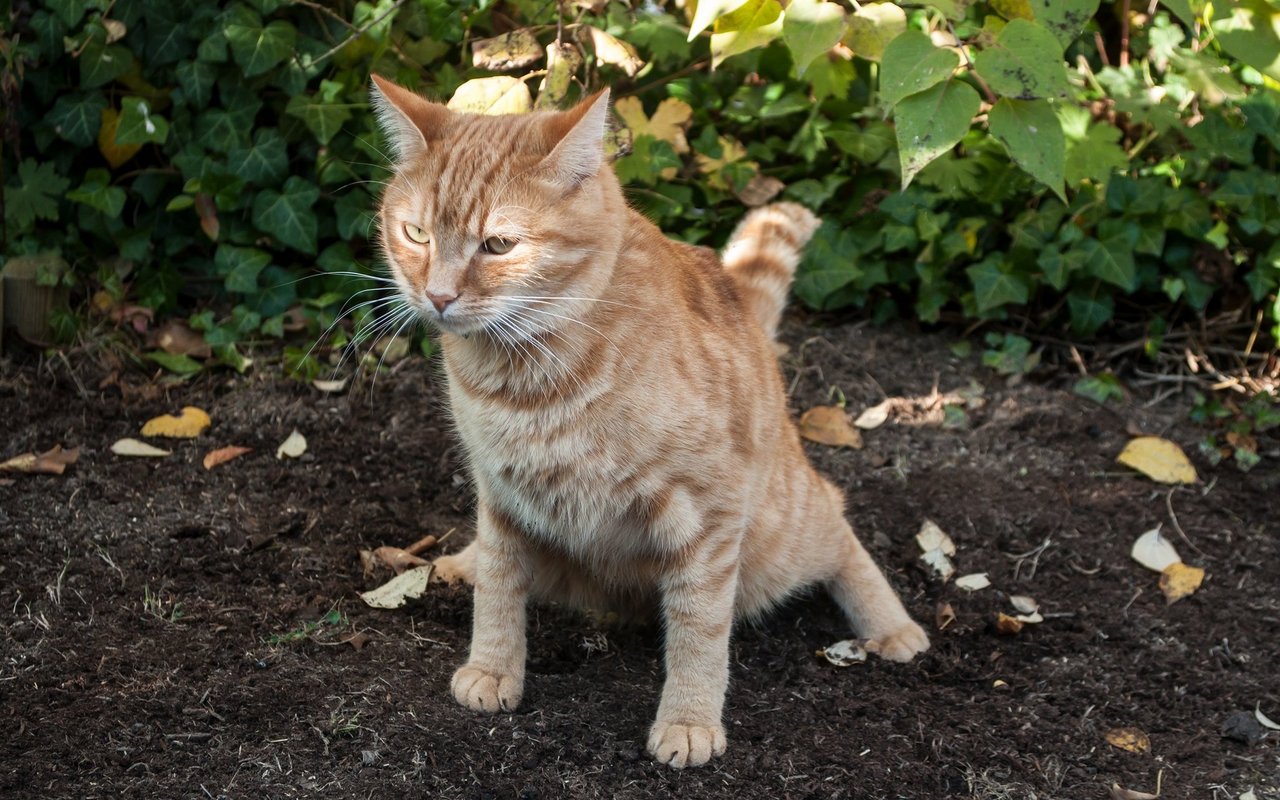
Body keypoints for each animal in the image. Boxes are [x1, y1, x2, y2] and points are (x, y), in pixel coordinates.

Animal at [371, 76, 931, 768]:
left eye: (499, 244)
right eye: (416, 233)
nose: (439, 296)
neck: (528, 376)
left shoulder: (709, 513)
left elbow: (699, 629)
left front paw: (689, 720)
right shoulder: (499, 492)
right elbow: (499, 585)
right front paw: (495, 667)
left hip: (783, 532)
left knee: (837, 525)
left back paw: (892, 626)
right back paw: (460, 562)